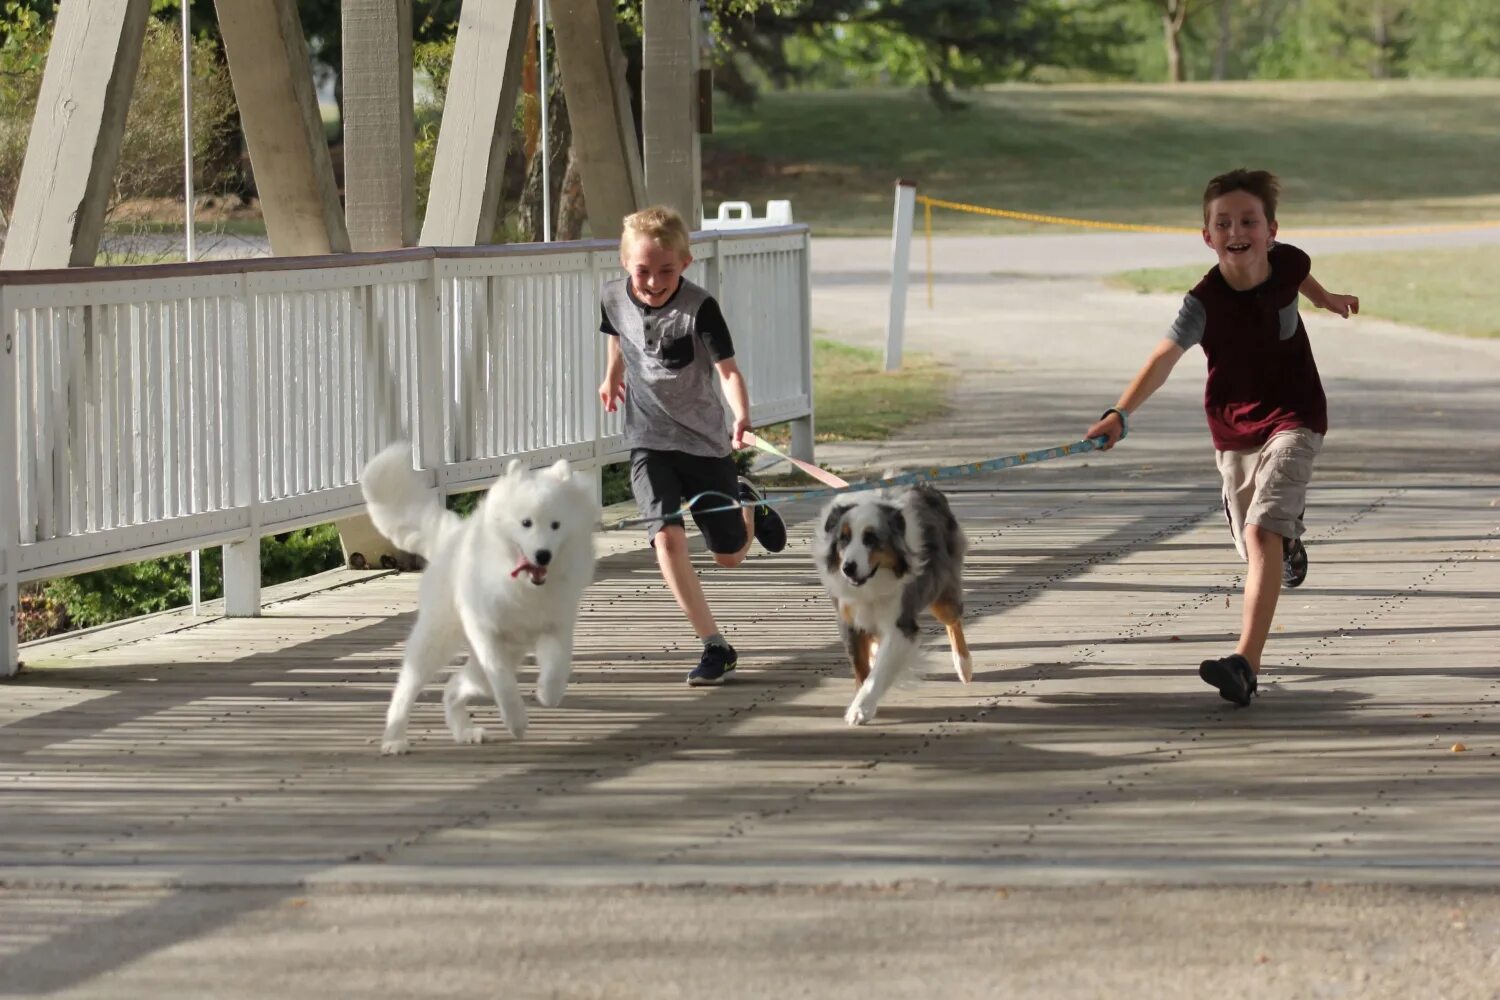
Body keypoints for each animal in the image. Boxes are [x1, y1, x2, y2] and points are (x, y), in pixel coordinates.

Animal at [361, 440, 597, 755]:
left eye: (556, 525)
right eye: (526, 523)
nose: (543, 555)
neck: (525, 587)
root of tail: (451, 536)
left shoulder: (556, 627)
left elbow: (557, 669)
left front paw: (547, 693)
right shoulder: (486, 633)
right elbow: (504, 683)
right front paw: (516, 721)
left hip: (495, 661)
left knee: (453, 687)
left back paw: (464, 731)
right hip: (436, 640)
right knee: (408, 686)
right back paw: (394, 739)